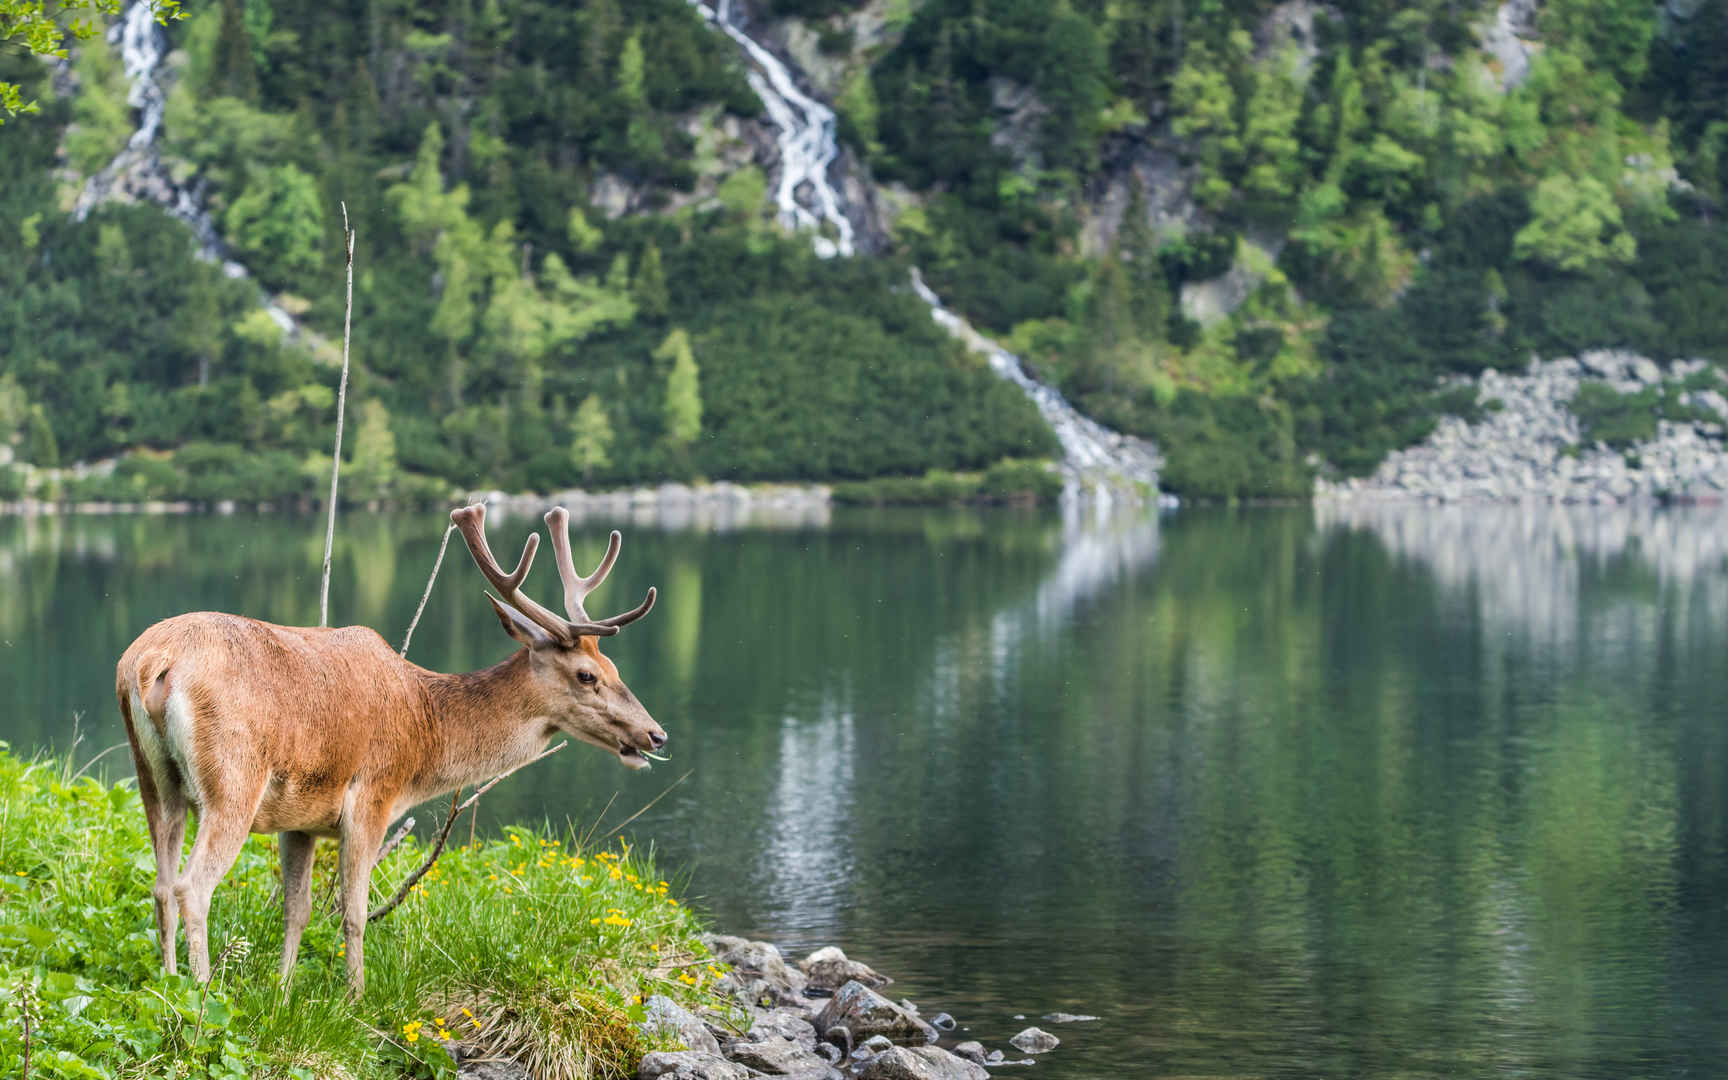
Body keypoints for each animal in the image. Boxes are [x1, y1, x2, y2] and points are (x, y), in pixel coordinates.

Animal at [109, 504, 660, 995]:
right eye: (587, 675)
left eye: (614, 669)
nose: (656, 735)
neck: (426, 736)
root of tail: (150, 662)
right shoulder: (373, 796)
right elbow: (353, 912)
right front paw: (355, 999)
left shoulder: (299, 821)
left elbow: (297, 909)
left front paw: (282, 994)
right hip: (233, 779)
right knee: (192, 886)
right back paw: (203, 996)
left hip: (154, 779)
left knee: (161, 885)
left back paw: (170, 985)